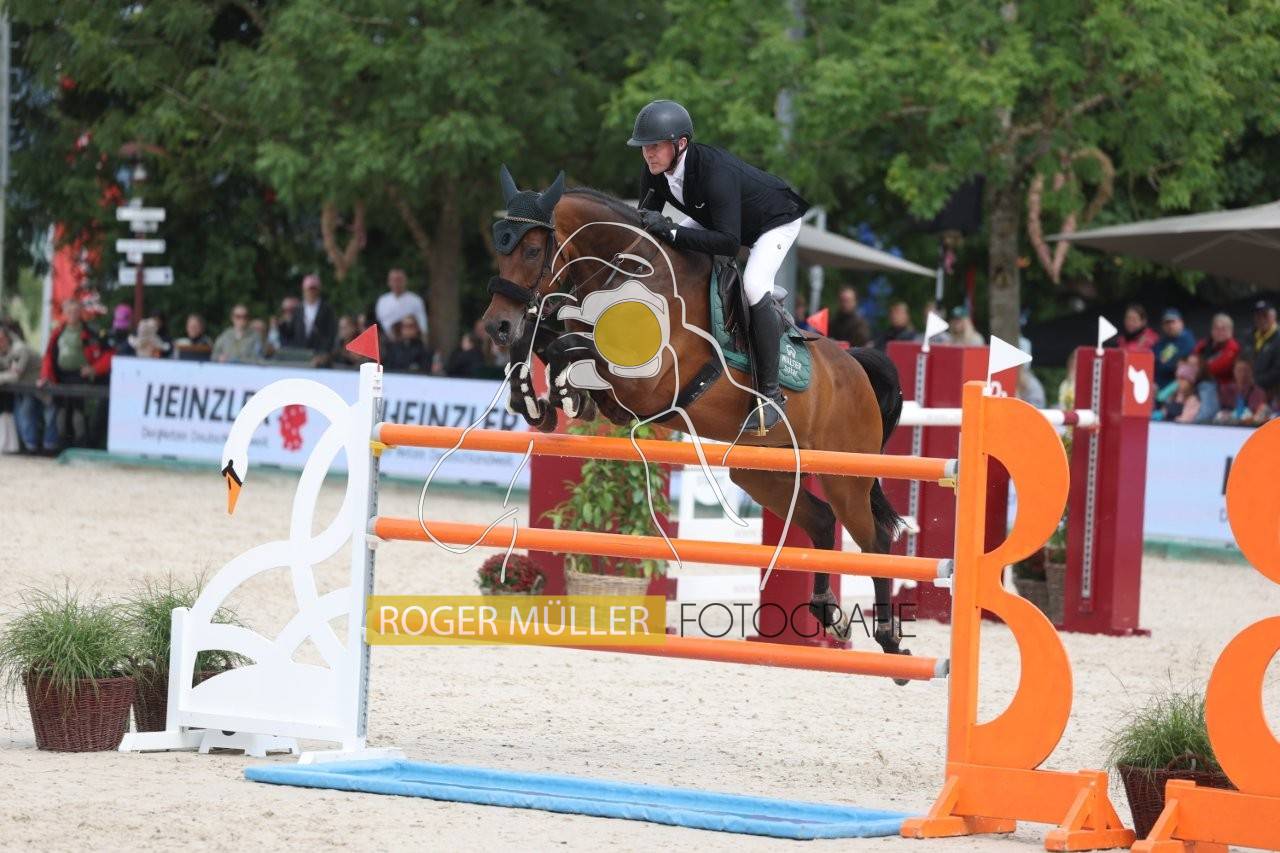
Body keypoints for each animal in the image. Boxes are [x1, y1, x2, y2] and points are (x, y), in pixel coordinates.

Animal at [481, 169, 908, 658]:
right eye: (501, 247)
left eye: (532, 250)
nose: (496, 326)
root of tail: (855, 367)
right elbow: (551, 343)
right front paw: (538, 401)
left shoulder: (647, 383)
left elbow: (567, 348)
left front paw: (564, 395)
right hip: (761, 471)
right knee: (820, 520)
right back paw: (828, 615)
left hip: (845, 476)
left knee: (874, 539)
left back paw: (888, 636)